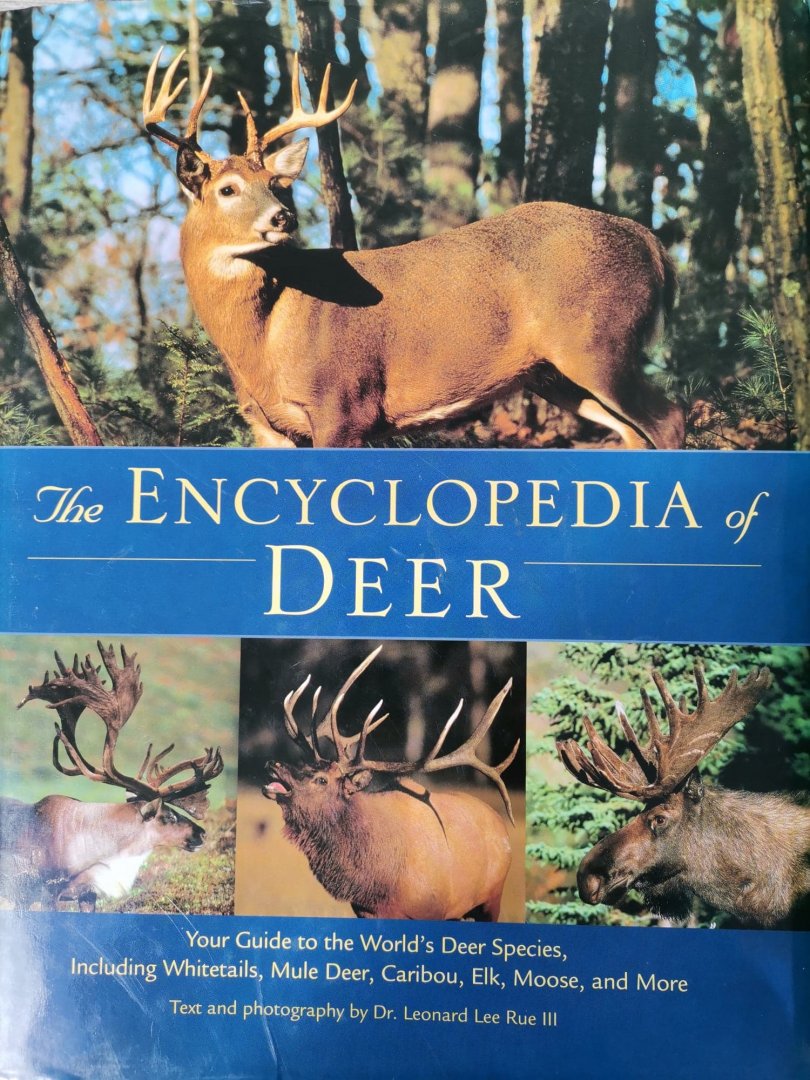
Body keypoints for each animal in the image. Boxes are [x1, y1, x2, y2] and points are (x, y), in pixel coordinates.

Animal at [142, 50, 685, 450]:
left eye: (275, 184)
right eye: (228, 189)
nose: (284, 218)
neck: (262, 341)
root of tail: (650, 242)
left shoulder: (344, 404)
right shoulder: (267, 425)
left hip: (599, 342)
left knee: (670, 419)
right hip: (552, 373)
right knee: (632, 434)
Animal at [261, 646, 520, 920]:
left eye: (321, 780)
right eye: (305, 765)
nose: (273, 764)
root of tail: (499, 823)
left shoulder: (434, 909)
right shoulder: (365, 911)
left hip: (491, 898)